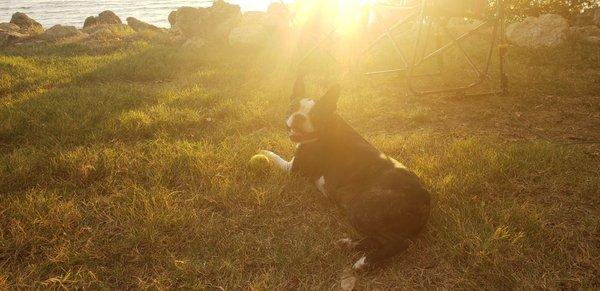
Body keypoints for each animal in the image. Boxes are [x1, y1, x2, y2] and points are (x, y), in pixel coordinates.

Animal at [260, 77, 428, 272]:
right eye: (292, 108)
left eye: (316, 115)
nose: (299, 117)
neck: (329, 126)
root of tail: (424, 198)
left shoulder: (294, 169)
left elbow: (275, 156)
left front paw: (263, 152)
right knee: (378, 239)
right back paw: (349, 244)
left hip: (361, 210)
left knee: (399, 242)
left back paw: (365, 261)